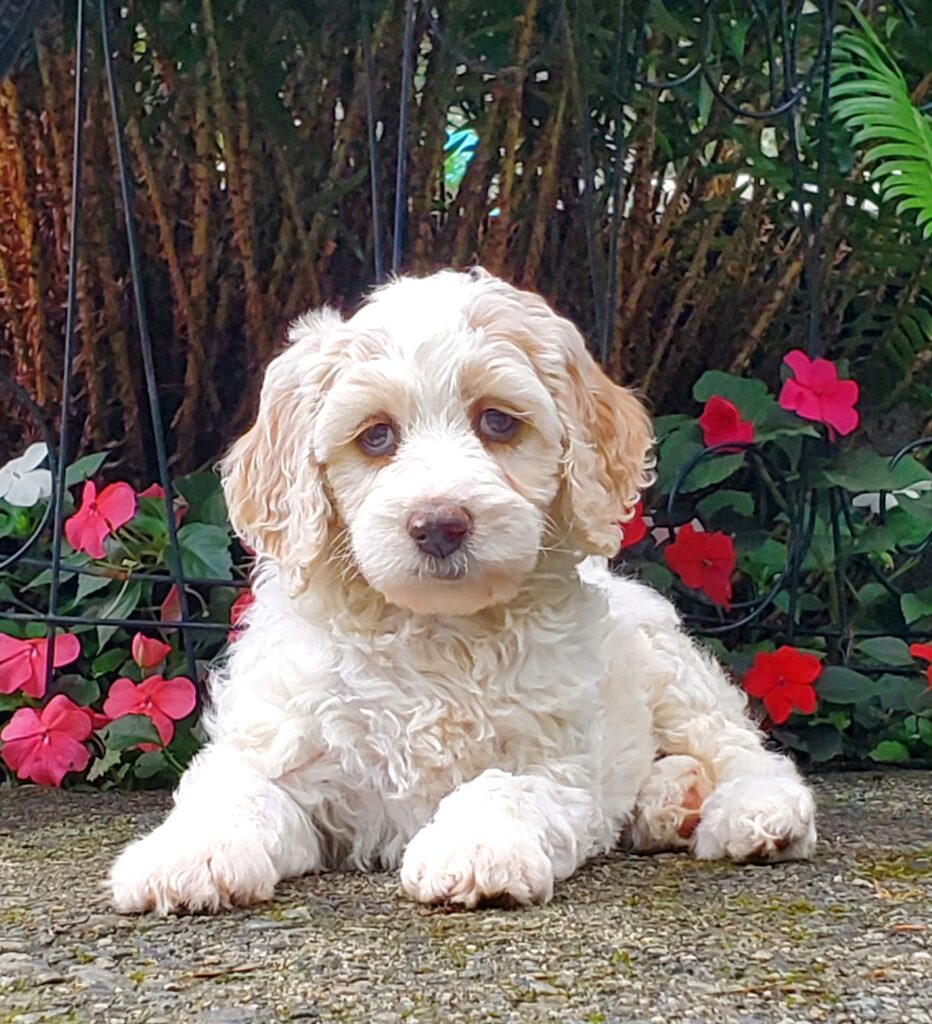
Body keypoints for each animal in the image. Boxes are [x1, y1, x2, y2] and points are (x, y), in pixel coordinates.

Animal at [107, 270, 819, 913]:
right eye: (375, 436)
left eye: (498, 422)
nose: (439, 524)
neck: (435, 630)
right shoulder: (280, 742)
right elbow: (235, 791)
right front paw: (189, 856)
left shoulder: (557, 764)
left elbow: (502, 785)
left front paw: (478, 848)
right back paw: (669, 802)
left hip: (669, 665)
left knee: (740, 748)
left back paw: (750, 812)